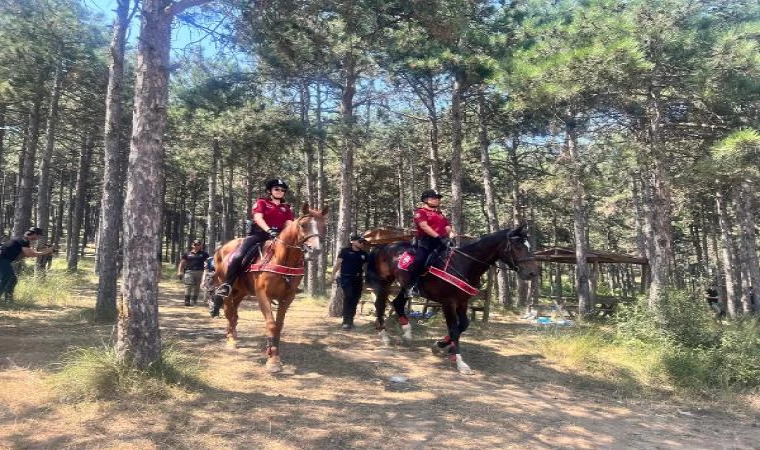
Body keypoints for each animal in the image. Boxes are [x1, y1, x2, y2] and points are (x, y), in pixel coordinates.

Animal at [212, 204, 328, 372]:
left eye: (323, 226)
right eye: (303, 225)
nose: (315, 250)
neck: (281, 258)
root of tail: (221, 249)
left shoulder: (288, 297)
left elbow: (278, 325)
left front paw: (273, 353)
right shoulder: (262, 295)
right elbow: (271, 324)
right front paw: (273, 361)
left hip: (240, 292)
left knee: (234, 315)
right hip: (227, 288)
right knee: (229, 313)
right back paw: (231, 341)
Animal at [366, 227, 536, 374]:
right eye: (517, 245)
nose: (532, 273)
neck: (464, 263)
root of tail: (384, 246)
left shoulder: (462, 302)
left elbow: (463, 325)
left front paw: (439, 345)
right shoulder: (448, 303)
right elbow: (454, 329)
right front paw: (460, 363)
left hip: (405, 286)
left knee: (397, 303)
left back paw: (407, 334)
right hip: (385, 282)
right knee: (380, 305)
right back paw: (384, 337)